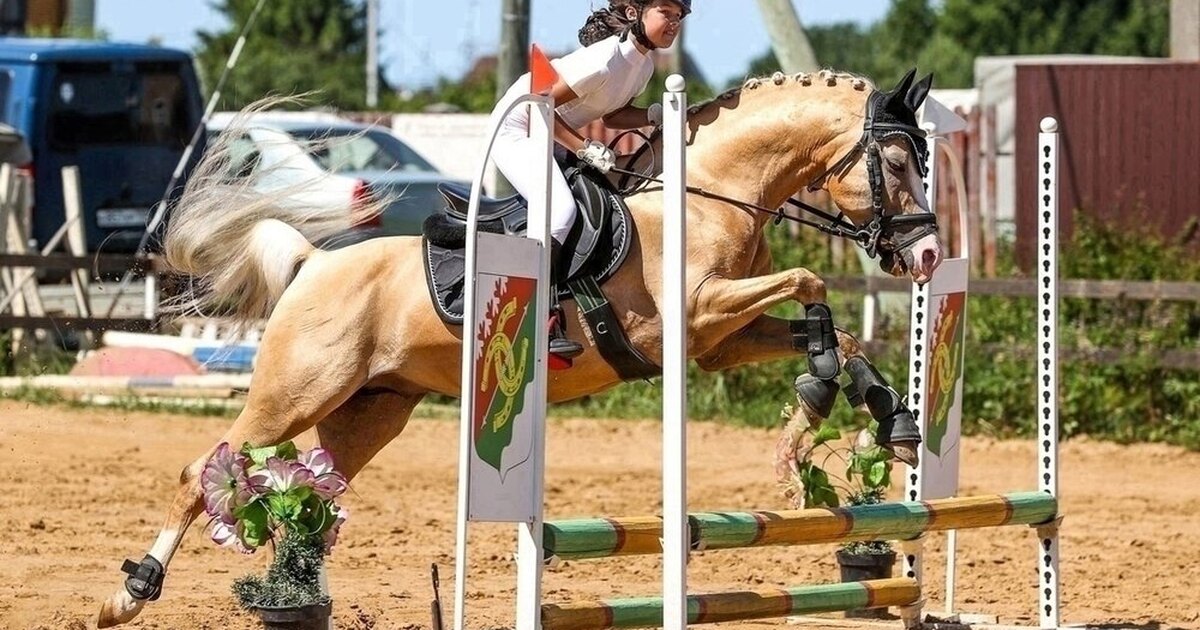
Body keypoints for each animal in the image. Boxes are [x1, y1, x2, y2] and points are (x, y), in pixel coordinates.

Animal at [97, 68, 942, 626]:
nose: (929, 255)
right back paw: (130, 594)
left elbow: (835, 326)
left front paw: (874, 414)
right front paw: (822, 399)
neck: (706, 200)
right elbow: (810, 282)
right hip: (295, 392)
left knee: (308, 489)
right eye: (898, 163)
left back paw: (293, 595)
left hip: (370, 412)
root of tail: (313, 264)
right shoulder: (696, 315)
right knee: (205, 470)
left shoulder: (716, 342)